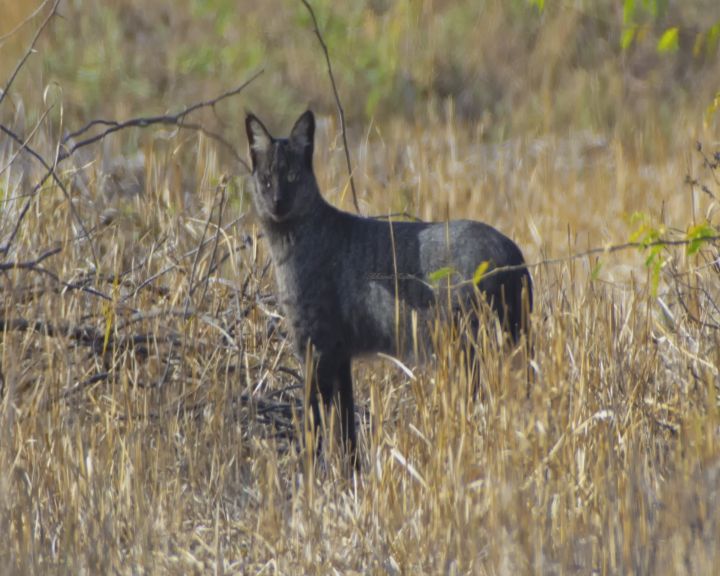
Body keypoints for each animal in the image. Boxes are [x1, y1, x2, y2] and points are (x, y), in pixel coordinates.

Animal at [245, 110, 532, 466]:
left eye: (293, 176)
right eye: (267, 179)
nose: (277, 203)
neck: (293, 242)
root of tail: (514, 253)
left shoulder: (316, 349)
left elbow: (314, 423)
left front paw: (311, 472)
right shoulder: (339, 354)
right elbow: (346, 425)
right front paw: (350, 471)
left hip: (470, 351)